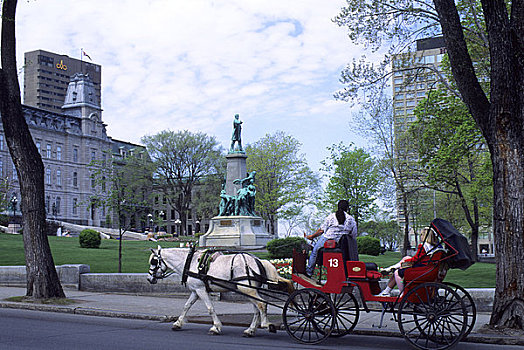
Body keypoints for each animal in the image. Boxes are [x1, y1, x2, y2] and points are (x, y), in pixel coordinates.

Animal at [147, 246, 294, 336]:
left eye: (154, 261)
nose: (149, 278)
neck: (191, 262)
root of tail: (258, 260)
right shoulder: (195, 291)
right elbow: (186, 306)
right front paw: (177, 323)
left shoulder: (201, 290)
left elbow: (210, 308)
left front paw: (216, 327)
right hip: (249, 290)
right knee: (257, 308)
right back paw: (250, 330)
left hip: (247, 289)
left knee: (262, 304)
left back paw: (265, 324)